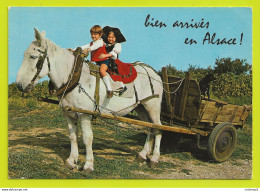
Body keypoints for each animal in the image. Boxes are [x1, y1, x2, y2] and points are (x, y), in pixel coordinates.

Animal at [15, 28, 162, 173]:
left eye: (33, 57)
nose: (19, 85)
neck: (74, 77)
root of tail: (153, 72)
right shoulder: (68, 114)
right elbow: (73, 136)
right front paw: (71, 161)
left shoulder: (85, 115)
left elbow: (87, 138)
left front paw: (88, 165)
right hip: (141, 107)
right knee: (149, 128)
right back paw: (143, 154)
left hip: (152, 106)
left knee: (158, 129)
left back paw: (154, 158)